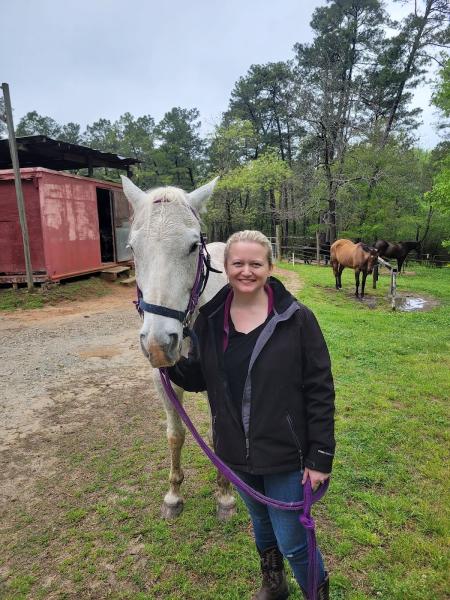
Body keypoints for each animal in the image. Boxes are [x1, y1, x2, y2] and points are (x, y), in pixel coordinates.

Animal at [121, 175, 237, 520]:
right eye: (133, 248)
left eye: (193, 246)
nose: (159, 343)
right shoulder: (163, 380)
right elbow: (175, 435)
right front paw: (173, 495)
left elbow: (218, 434)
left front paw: (225, 495)